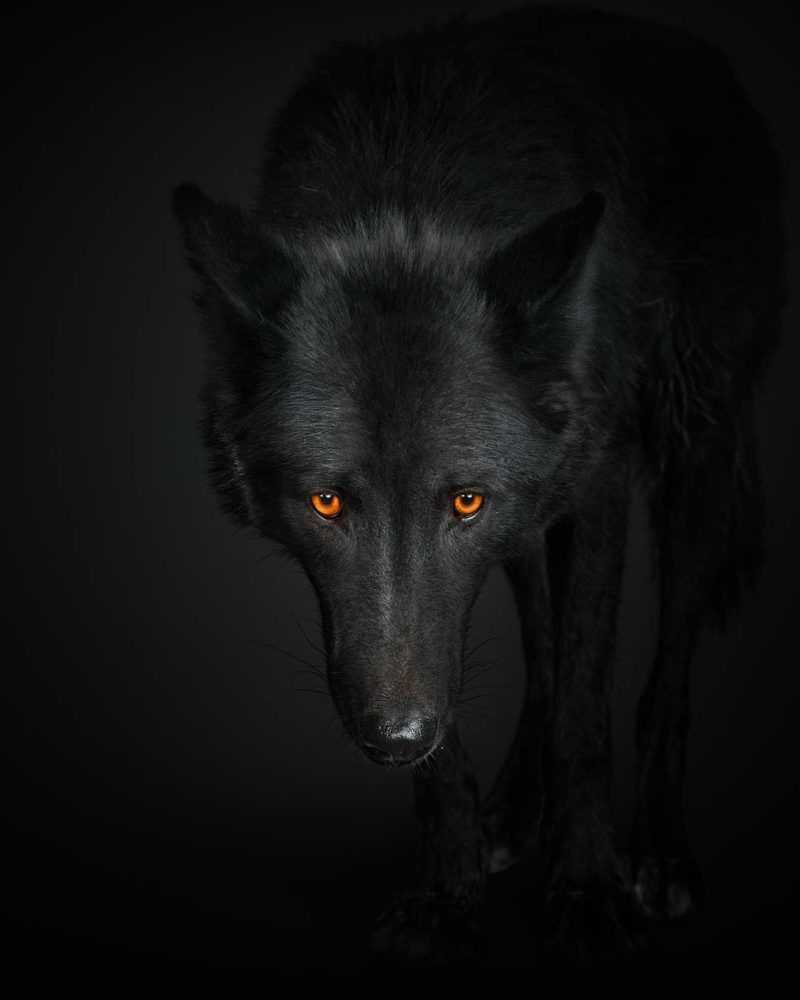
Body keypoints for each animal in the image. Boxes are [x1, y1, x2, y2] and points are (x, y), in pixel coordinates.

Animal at [173, 4, 785, 964]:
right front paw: (447, 889)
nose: (394, 736)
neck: (408, 178)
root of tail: (705, 60)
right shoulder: (424, 617)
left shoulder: (597, 485)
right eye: (326, 502)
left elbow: (585, 703)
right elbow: (471, 704)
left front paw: (587, 888)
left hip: (695, 453)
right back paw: (516, 813)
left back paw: (658, 853)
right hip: (536, 519)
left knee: (664, 668)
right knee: (539, 646)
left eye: (463, 500)